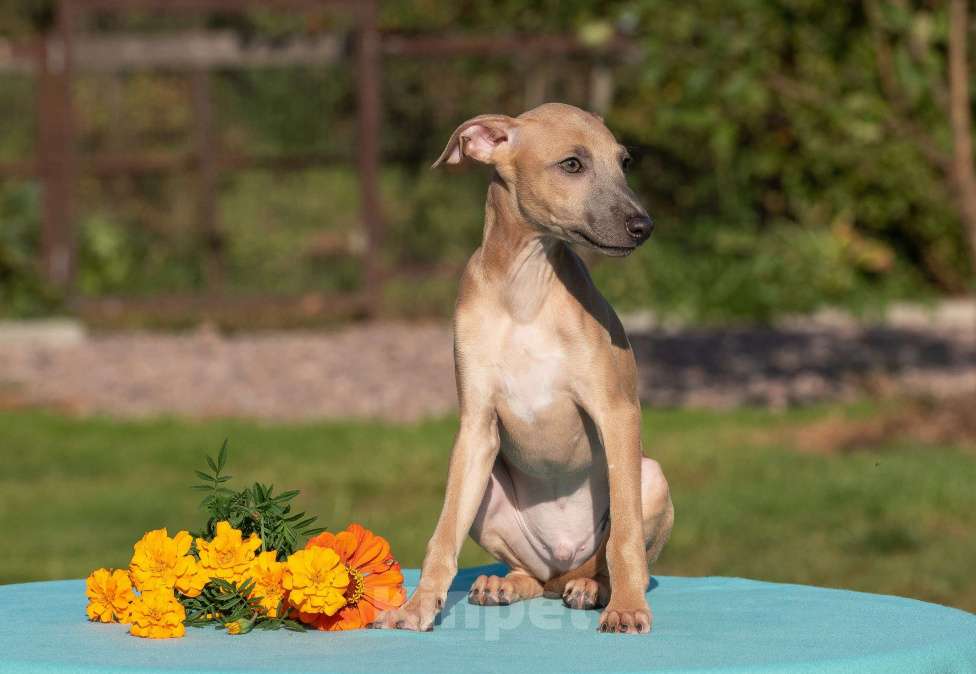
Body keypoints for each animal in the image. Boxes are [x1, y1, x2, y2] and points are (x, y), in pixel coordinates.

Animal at [372, 102, 672, 632]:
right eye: (572, 164)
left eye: (624, 163)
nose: (644, 225)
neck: (524, 289)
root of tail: (562, 561)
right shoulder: (474, 426)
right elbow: (441, 536)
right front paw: (418, 606)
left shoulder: (617, 412)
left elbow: (626, 536)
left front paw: (628, 606)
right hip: (489, 494)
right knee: (532, 573)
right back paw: (505, 584)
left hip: (650, 476)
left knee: (602, 556)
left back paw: (594, 589)